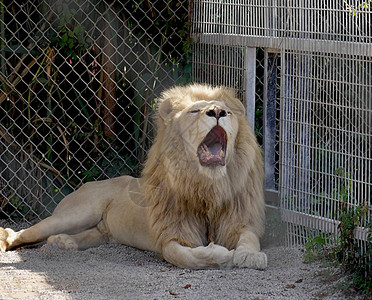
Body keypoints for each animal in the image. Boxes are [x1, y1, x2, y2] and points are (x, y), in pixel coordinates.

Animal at [0, 84, 268, 270]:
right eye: (195, 110)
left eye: (228, 112)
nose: (218, 111)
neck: (208, 186)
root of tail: (87, 184)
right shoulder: (168, 235)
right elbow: (185, 257)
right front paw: (221, 255)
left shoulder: (239, 220)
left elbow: (249, 238)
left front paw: (250, 256)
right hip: (77, 213)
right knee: (22, 233)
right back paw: (10, 240)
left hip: (100, 230)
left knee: (88, 235)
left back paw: (62, 243)